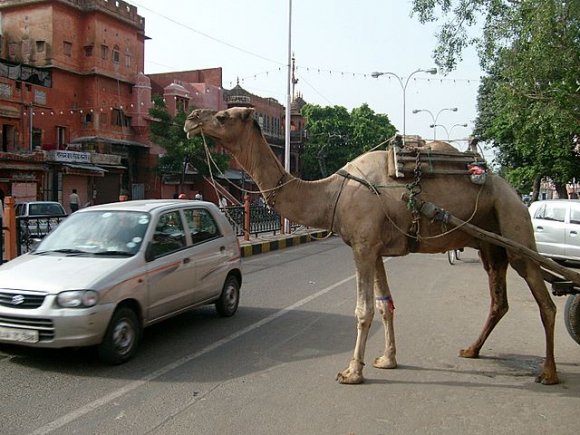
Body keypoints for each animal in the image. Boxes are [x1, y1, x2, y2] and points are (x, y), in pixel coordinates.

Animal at [184, 107, 560, 386]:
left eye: (223, 117)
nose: (191, 119)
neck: (331, 194)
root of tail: (510, 190)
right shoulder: (375, 249)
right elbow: (385, 305)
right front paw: (387, 359)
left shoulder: (363, 248)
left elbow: (363, 310)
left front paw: (352, 371)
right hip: (488, 244)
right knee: (499, 300)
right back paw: (471, 350)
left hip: (513, 224)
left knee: (544, 299)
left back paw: (548, 372)